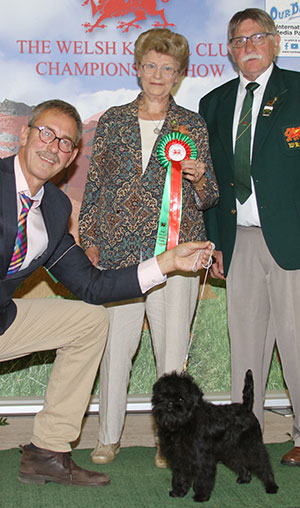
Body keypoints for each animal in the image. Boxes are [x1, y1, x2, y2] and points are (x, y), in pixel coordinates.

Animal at [152, 372, 278, 502]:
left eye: (180, 399)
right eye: (162, 396)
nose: (169, 403)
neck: (184, 423)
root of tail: (246, 408)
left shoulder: (202, 458)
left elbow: (202, 477)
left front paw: (201, 495)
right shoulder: (180, 457)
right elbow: (180, 476)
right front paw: (178, 491)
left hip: (251, 446)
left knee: (263, 464)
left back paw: (271, 486)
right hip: (232, 450)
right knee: (240, 462)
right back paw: (244, 478)